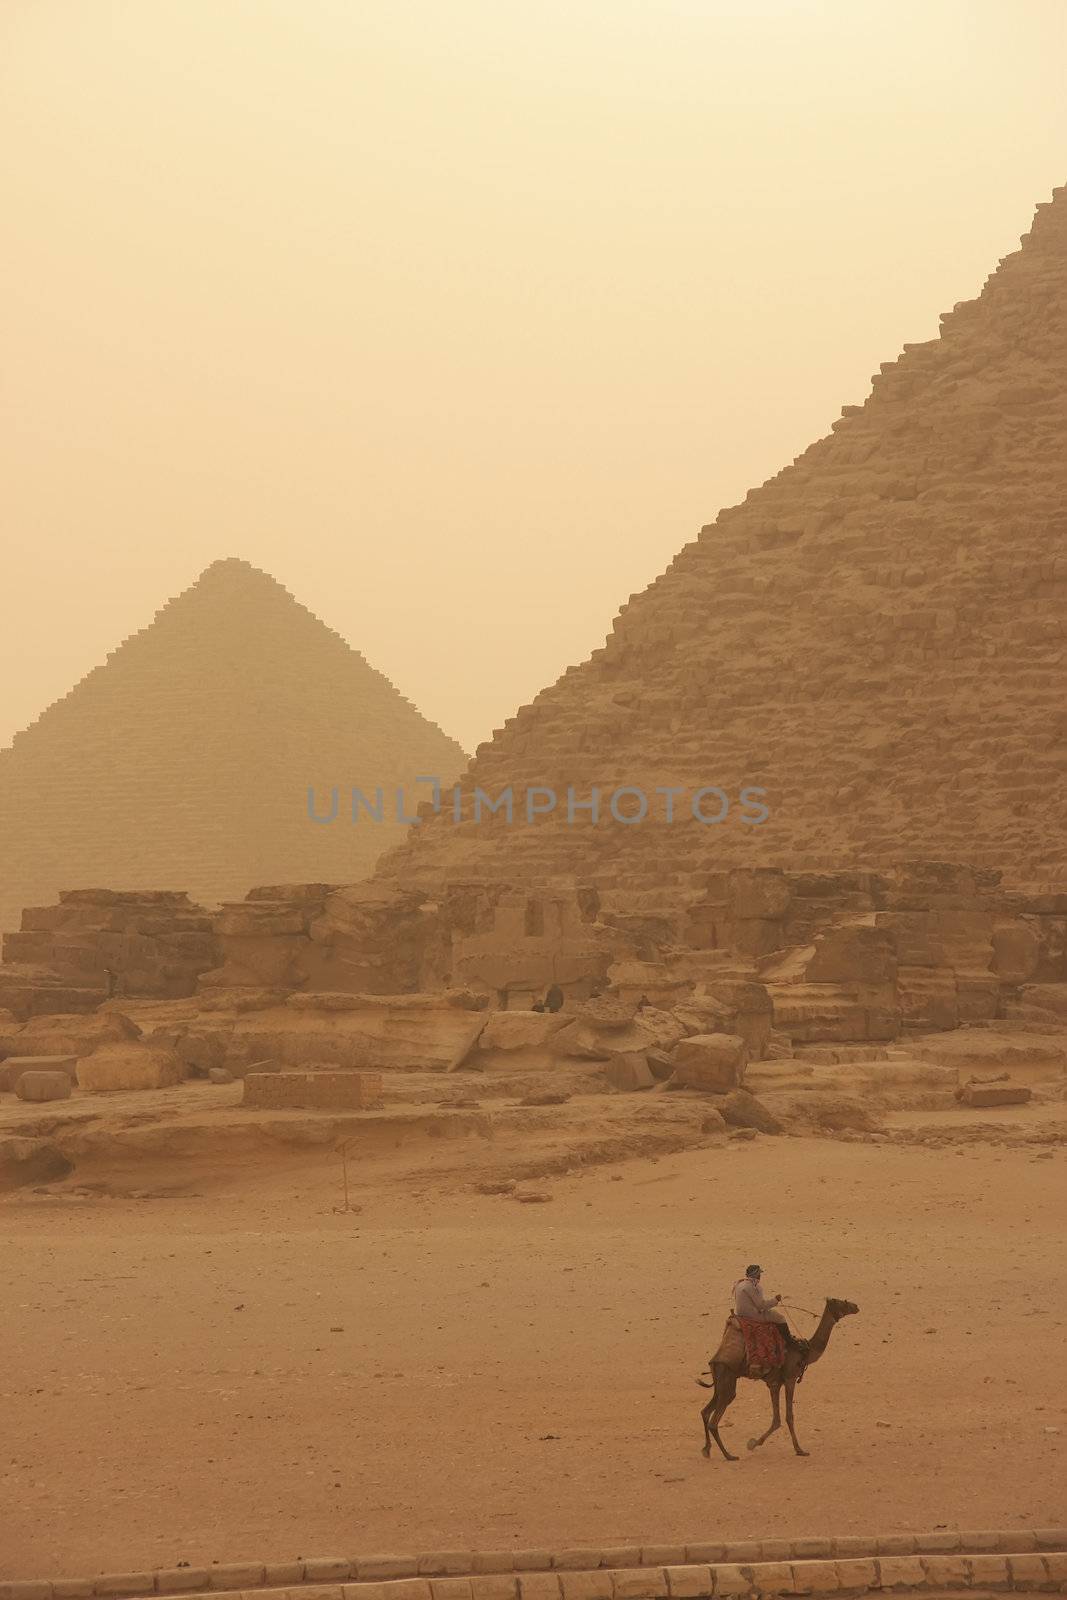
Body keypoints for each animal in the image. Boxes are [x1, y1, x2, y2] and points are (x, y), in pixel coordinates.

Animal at [700, 1299, 857, 1465]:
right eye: (843, 1303)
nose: (856, 1307)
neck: (806, 1352)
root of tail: (715, 1359)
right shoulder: (790, 1379)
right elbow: (789, 1416)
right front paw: (799, 1449)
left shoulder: (774, 1383)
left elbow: (776, 1419)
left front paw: (753, 1443)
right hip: (728, 1380)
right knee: (714, 1421)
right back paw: (729, 1455)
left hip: (720, 1382)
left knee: (705, 1411)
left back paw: (707, 1450)